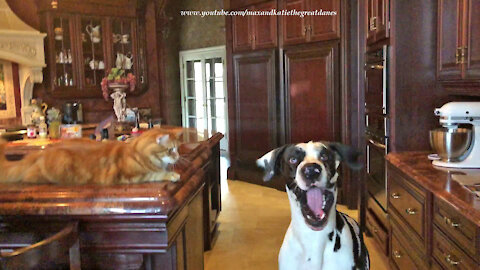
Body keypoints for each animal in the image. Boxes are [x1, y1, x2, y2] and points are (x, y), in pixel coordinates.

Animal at [0, 129, 182, 186]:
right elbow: (156, 174)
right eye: (171, 149)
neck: (137, 153)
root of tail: (42, 151)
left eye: (177, 148)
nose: (178, 156)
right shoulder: (129, 176)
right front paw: (173, 174)